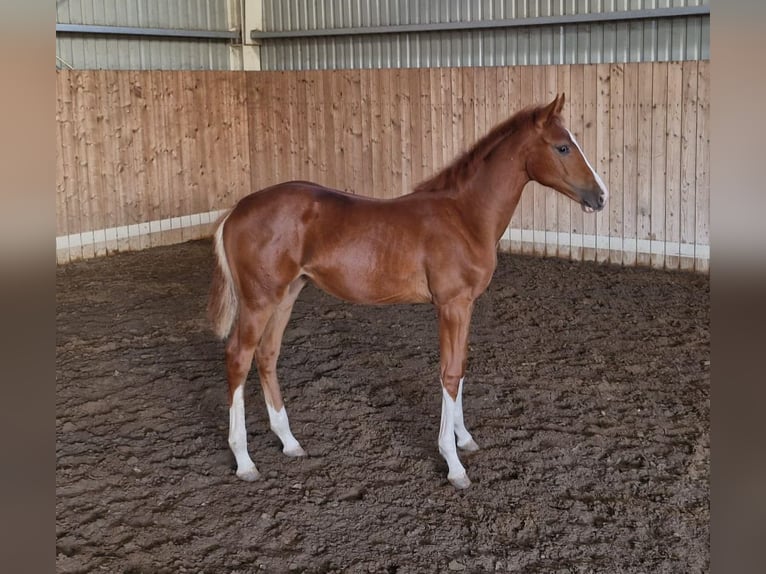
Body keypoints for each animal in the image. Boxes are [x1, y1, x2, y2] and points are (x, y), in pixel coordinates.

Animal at [208, 94, 608, 490]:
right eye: (562, 147)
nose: (601, 197)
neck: (464, 217)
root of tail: (235, 212)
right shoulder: (451, 305)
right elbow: (449, 373)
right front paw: (453, 462)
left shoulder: (466, 305)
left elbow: (461, 366)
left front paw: (465, 439)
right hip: (259, 300)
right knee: (239, 357)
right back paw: (244, 460)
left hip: (287, 294)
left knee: (267, 355)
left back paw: (289, 442)